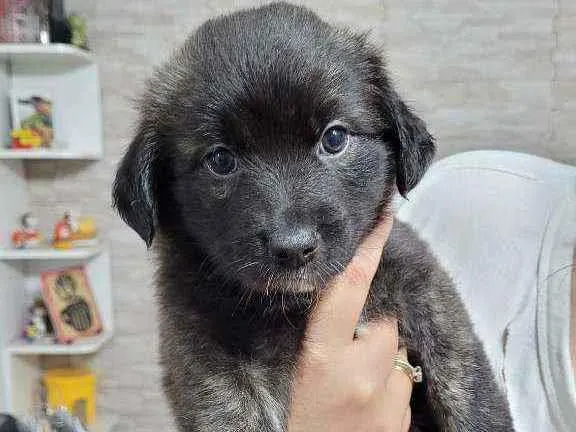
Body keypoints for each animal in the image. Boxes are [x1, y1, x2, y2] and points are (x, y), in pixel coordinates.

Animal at [113, 3, 515, 431]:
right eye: (220, 160)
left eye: (334, 138)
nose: (293, 248)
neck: (297, 302)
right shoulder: (198, 352)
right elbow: (228, 408)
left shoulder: (424, 284)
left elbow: (463, 378)